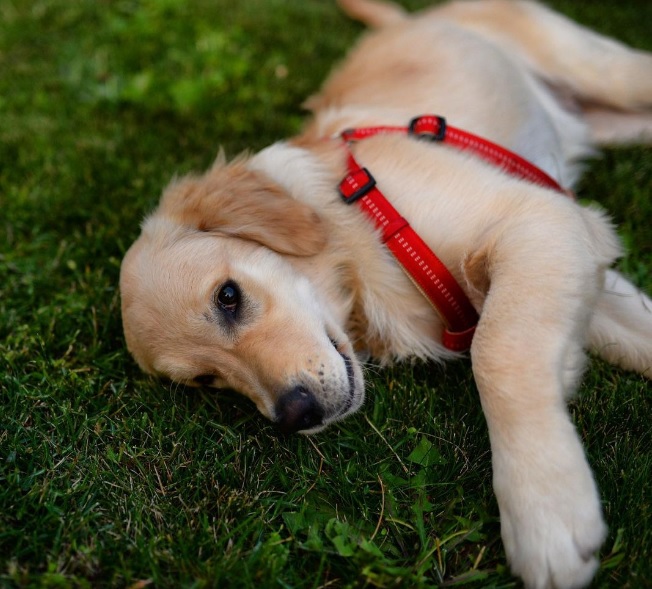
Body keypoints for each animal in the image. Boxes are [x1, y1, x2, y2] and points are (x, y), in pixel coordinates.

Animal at [118, 2, 652, 584]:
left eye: (228, 297)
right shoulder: (576, 260)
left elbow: (498, 350)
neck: (352, 237)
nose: (297, 414)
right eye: (207, 381)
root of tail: (411, 20)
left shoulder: (539, 218)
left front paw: (547, 514)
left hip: (609, 75)